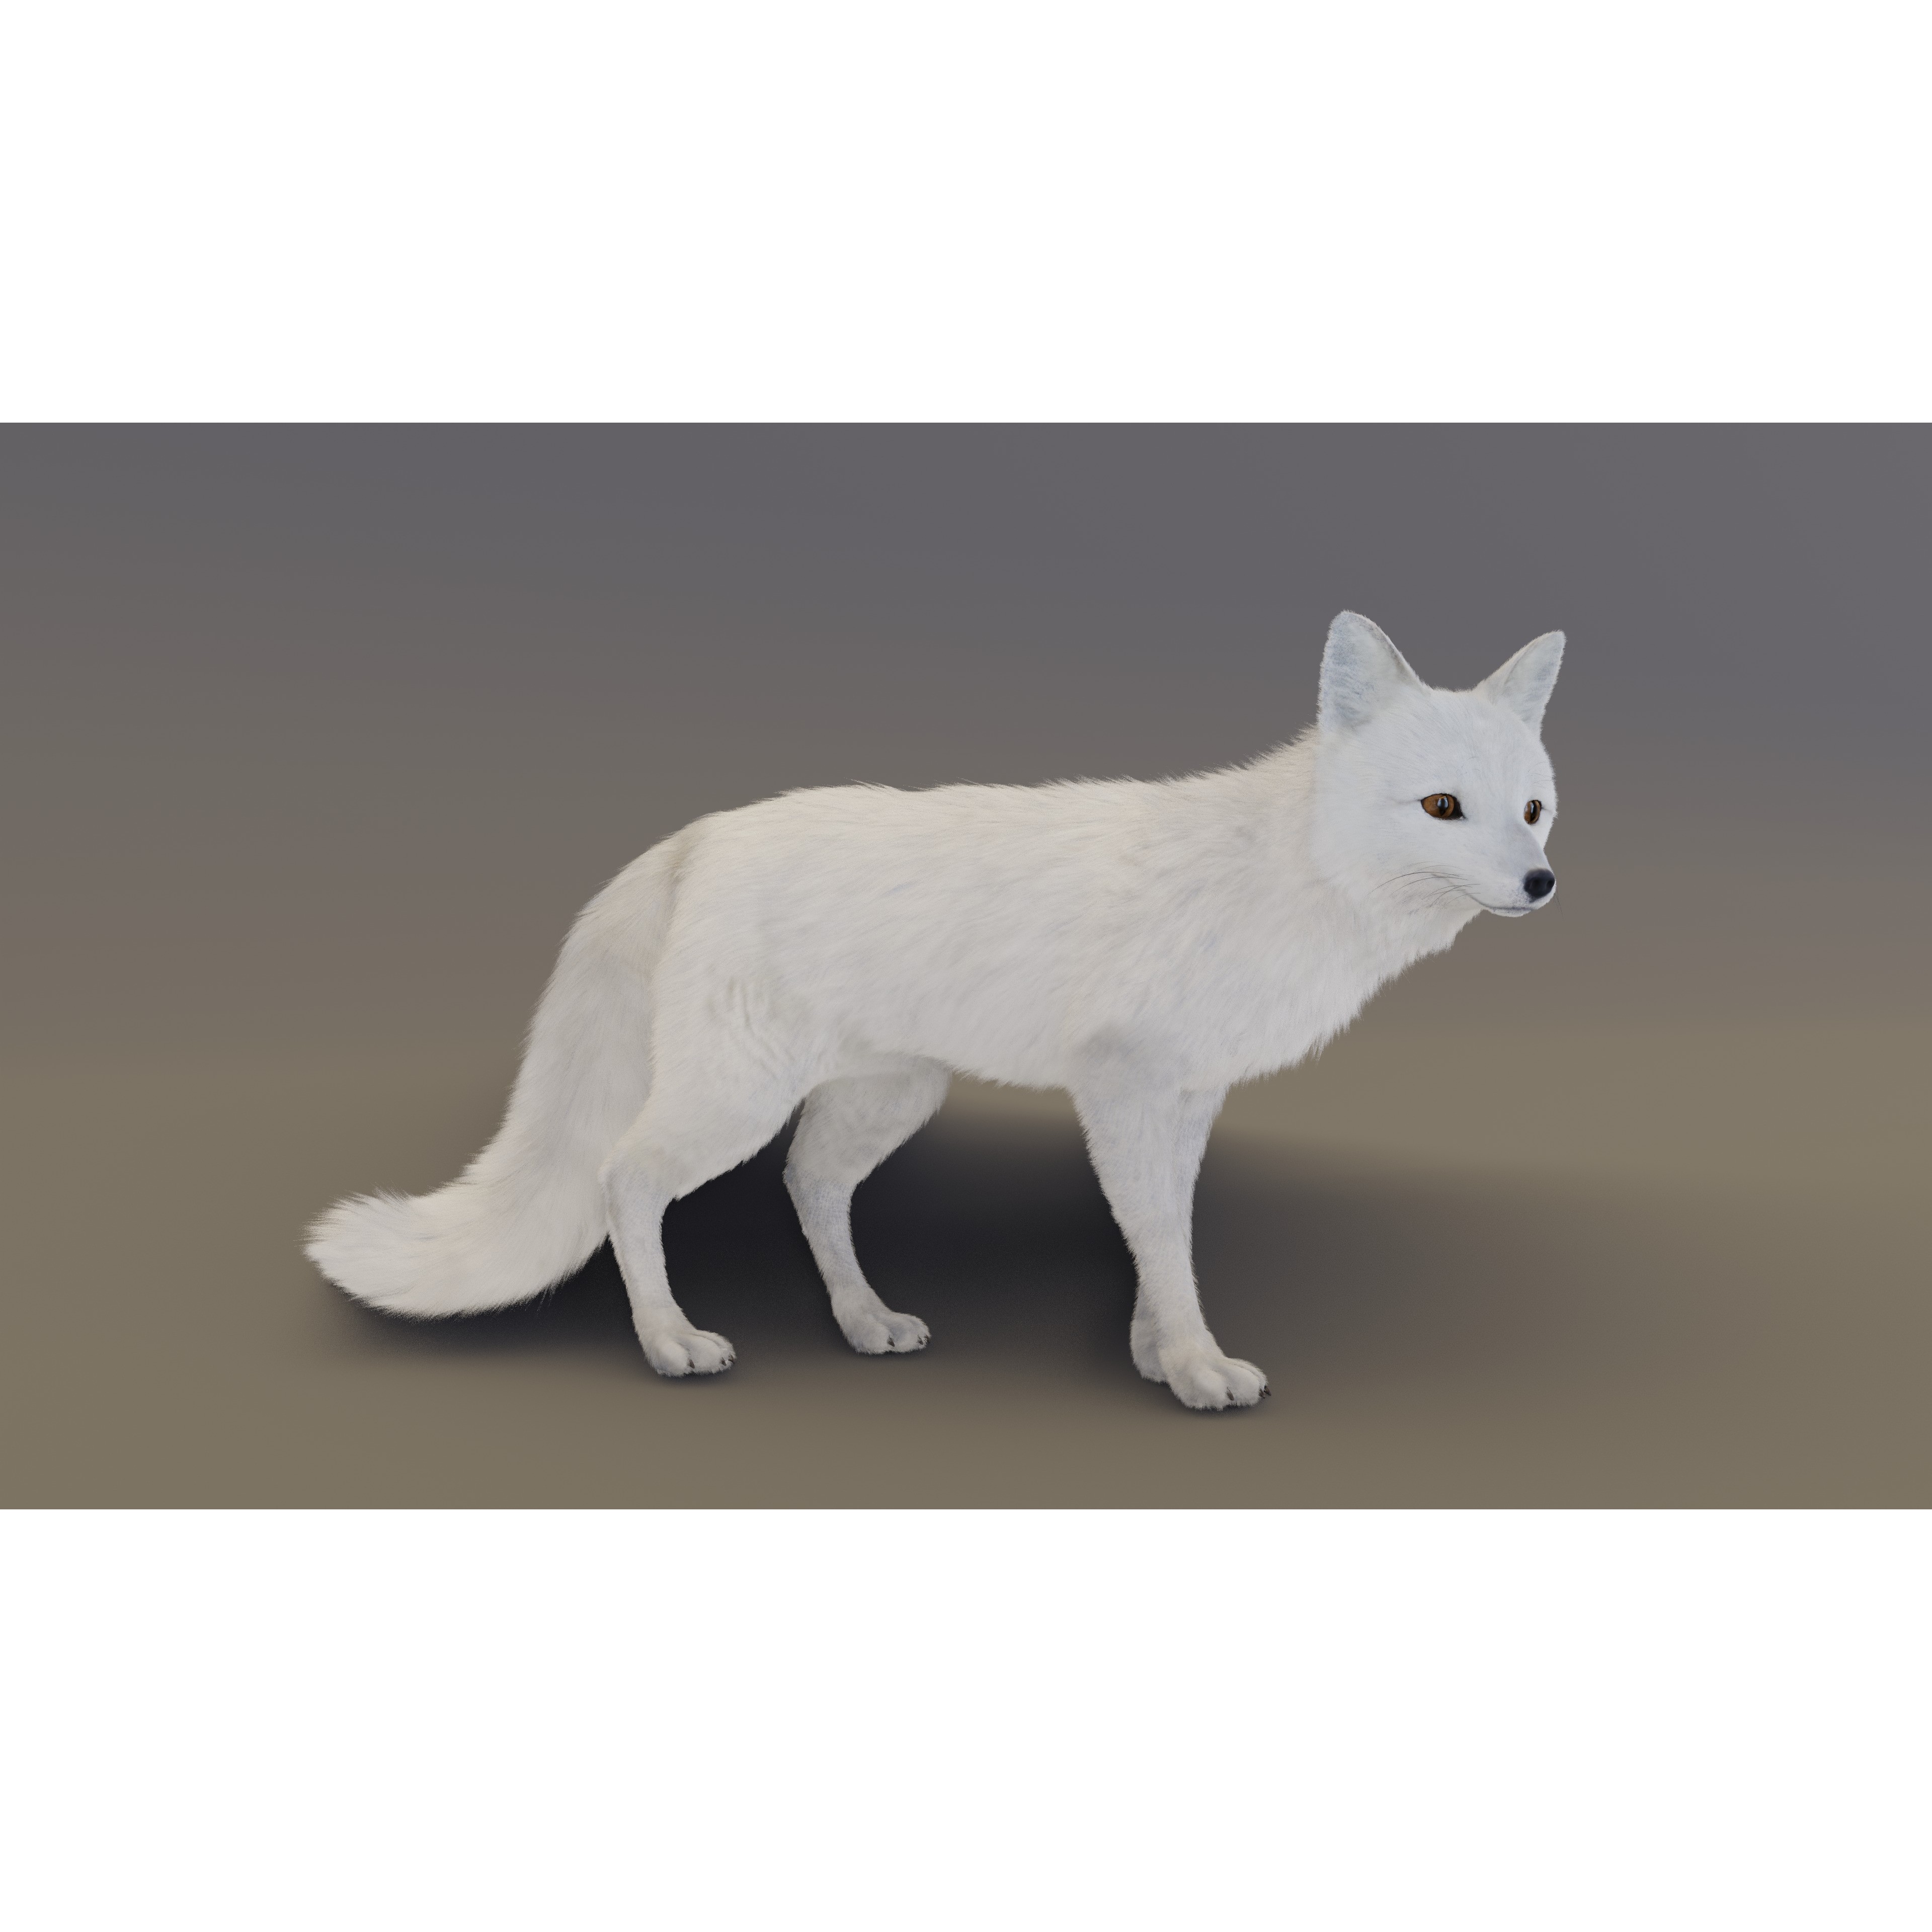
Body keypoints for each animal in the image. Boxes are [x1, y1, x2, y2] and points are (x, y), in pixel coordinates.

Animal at [307, 611, 1562, 1411]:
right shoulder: (1125, 1086)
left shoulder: (1186, 1098)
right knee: (627, 1179)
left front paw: (1157, 1355)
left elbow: (1159, 1235)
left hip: (889, 1097)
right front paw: (1200, 1372)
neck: (1288, 881)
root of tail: (697, 834)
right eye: (1442, 807)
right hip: (733, 1103)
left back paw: (865, 1324)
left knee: (809, 1185)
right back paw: (670, 1342)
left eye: (1534, 810)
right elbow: (1160, 1234)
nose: (1544, 885)